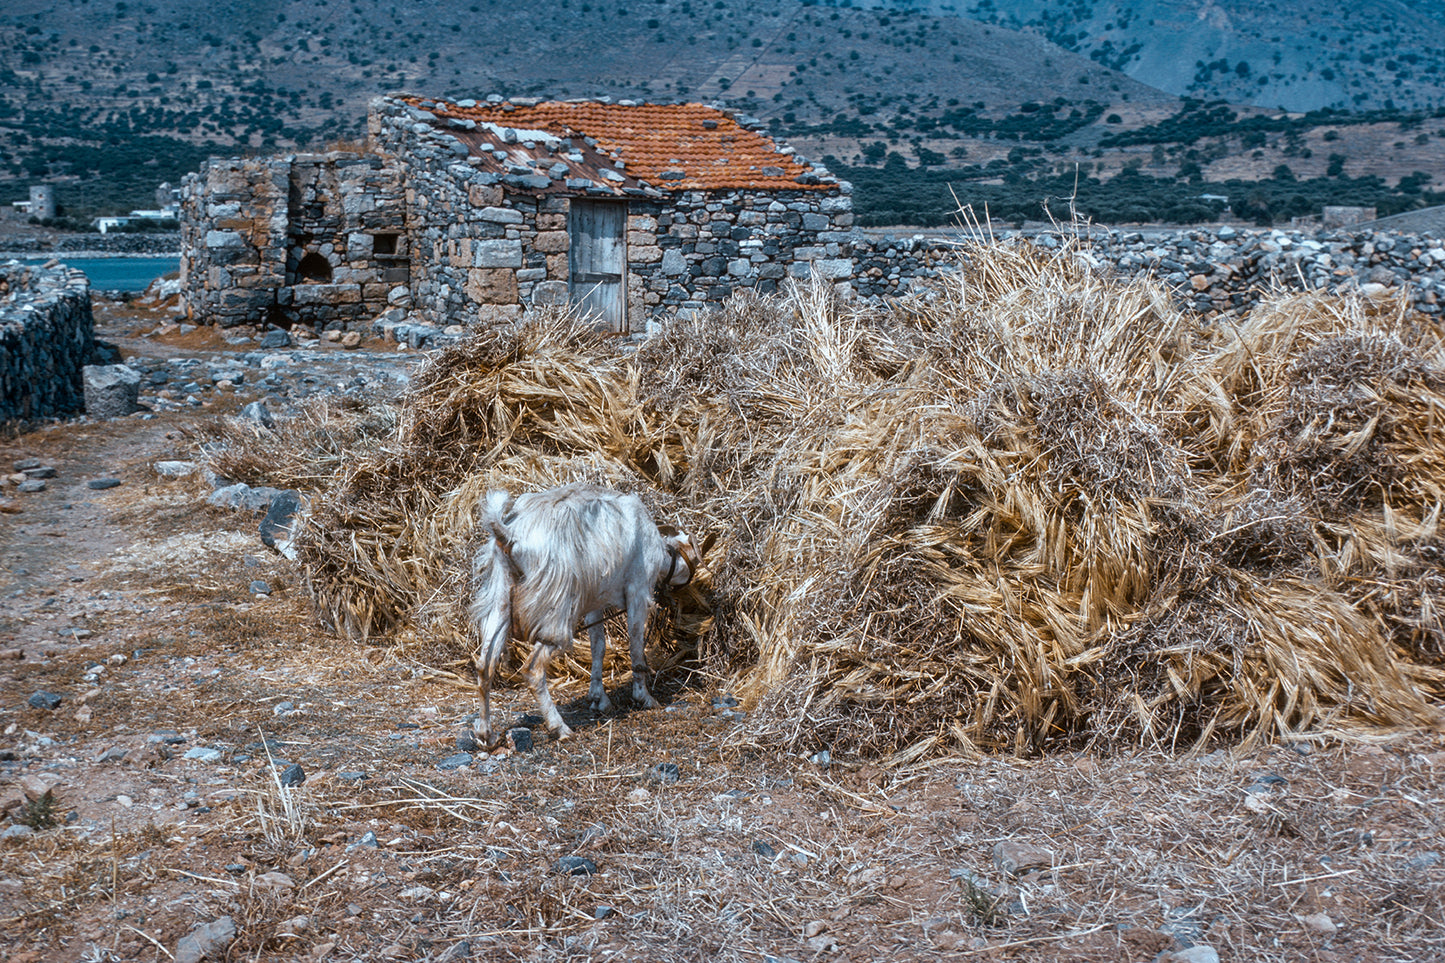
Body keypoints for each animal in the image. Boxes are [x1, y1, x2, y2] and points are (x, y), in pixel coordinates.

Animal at [468, 480, 705, 740]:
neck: (661, 552)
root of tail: (510, 534)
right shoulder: (638, 590)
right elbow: (636, 645)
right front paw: (644, 697)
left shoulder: (595, 603)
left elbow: (598, 647)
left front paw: (599, 699)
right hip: (556, 608)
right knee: (532, 669)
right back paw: (559, 727)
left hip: (499, 595)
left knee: (485, 665)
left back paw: (485, 733)